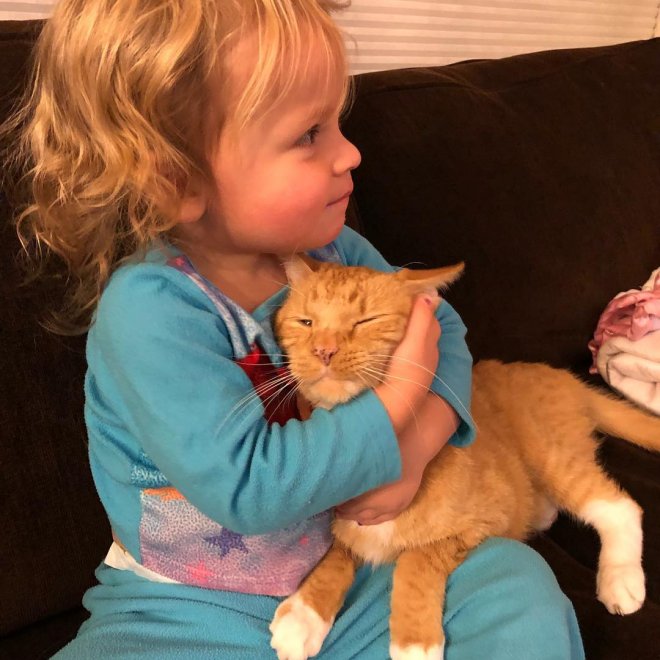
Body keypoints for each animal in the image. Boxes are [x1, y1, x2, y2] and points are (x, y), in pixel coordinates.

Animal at [268, 255, 660, 660]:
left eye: (366, 321)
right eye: (305, 322)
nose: (323, 351)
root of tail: (564, 376)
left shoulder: (484, 522)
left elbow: (416, 559)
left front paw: (414, 641)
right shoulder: (344, 523)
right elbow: (336, 556)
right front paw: (303, 614)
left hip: (554, 457)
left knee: (619, 506)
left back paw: (620, 579)